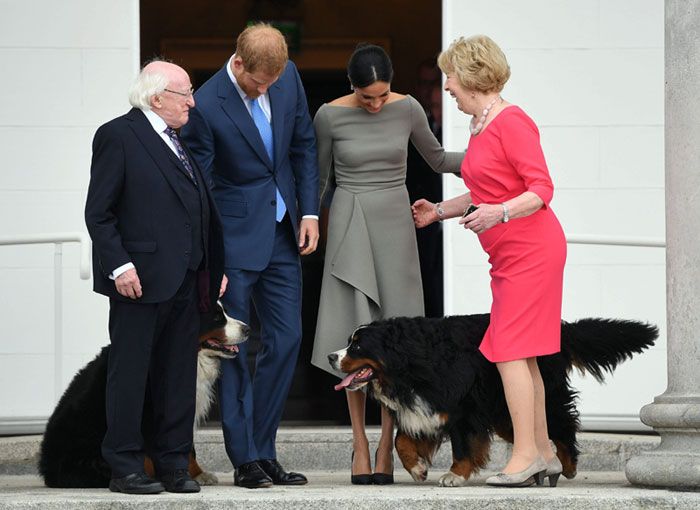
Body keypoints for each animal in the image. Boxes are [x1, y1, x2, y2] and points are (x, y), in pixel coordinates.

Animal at [39, 304, 249, 488]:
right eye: (217, 318)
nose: (247, 329)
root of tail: (47, 470)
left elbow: (187, 448)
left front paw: (195, 474)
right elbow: (148, 453)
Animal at [328, 314, 656, 486]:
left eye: (357, 346)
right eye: (349, 342)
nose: (331, 356)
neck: (411, 363)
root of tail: (561, 328)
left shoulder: (461, 409)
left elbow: (462, 447)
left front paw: (455, 475)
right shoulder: (424, 409)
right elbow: (401, 441)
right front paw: (418, 468)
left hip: (540, 396)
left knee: (563, 425)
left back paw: (568, 465)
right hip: (505, 413)